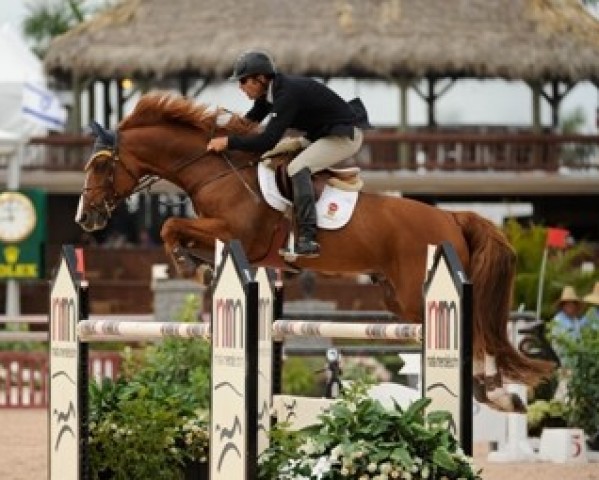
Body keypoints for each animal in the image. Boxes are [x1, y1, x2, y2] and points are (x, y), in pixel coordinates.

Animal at [75, 93, 552, 412]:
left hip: (422, 293)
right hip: (399, 299)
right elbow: (175, 230)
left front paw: (188, 265)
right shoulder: (233, 243)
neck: (215, 171)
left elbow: (170, 226)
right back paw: (489, 391)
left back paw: (497, 394)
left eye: (100, 165)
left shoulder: (238, 235)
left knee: (476, 333)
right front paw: (196, 265)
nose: (86, 218)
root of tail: (452, 216)